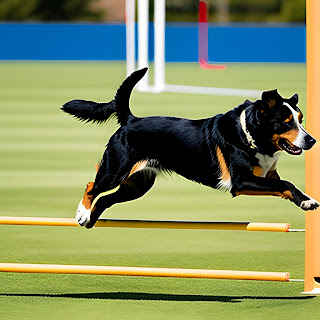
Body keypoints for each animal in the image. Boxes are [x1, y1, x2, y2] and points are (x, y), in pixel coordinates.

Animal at [61, 67, 318, 228]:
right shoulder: (241, 181)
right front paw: (307, 201)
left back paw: (90, 219)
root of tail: (130, 120)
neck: (249, 136)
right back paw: (82, 213)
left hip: (137, 185)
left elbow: (285, 186)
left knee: (105, 199)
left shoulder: (266, 175)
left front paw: (306, 200)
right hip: (115, 171)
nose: (312, 140)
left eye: (301, 119)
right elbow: (286, 184)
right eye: (286, 123)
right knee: (92, 186)